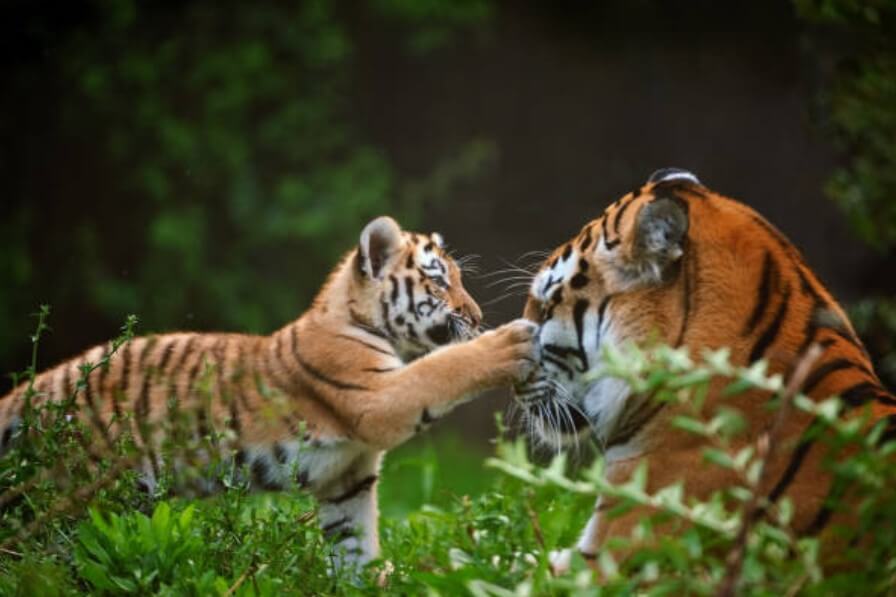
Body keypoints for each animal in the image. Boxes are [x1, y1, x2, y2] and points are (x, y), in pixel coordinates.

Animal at [0, 215, 536, 572]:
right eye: (438, 280)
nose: (478, 315)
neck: (357, 319)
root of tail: (38, 387)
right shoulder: (377, 396)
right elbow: (444, 368)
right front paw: (509, 341)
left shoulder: (349, 477)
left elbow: (356, 546)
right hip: (77, 498)